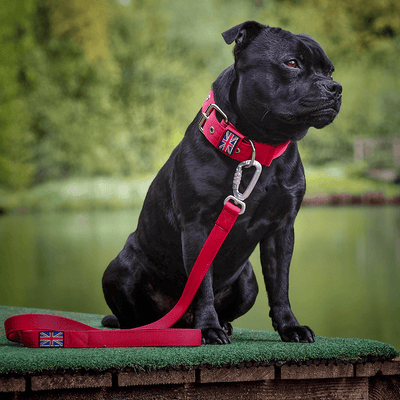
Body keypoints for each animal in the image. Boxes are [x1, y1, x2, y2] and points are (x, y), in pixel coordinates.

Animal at [101, 21, 342, 344]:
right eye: (292, 63)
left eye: (330, 71)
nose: (335, 87)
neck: (256, 148)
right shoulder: (198, 227)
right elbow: (201, 282)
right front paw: (207, 328)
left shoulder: (281, 229)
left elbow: (280, 285)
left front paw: (290, 326)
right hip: (121, 269)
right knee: (135, 318)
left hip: (249, 279)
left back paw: (219, 324)